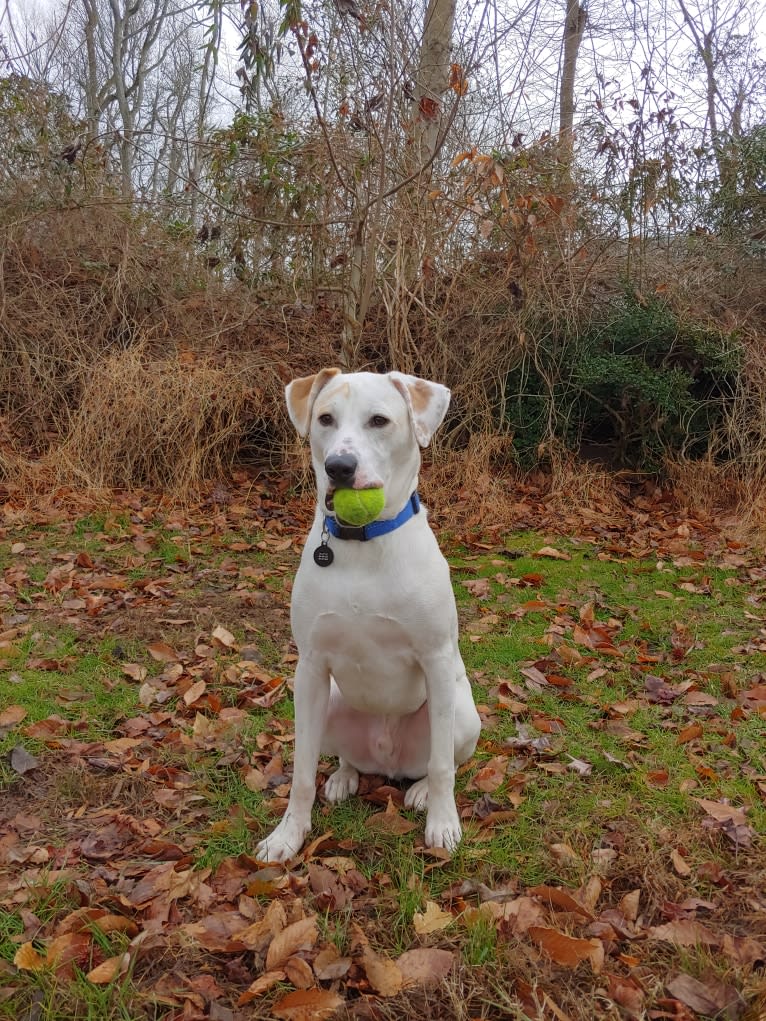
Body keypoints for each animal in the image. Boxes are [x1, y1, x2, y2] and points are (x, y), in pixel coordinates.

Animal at [259, 369, 486, 861]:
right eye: (325, 418)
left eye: (379, 420)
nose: (339, 467)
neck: (363, 542)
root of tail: (387, 759)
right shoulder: (310, 668)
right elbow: (301, 772)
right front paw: (288, 835)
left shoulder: (437, 660)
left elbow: (442, 766)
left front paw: (443, 824)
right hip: (330, 702)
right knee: (348, 756)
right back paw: (345, 776)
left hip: (461, 711)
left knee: (438, 761)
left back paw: (418, 792)